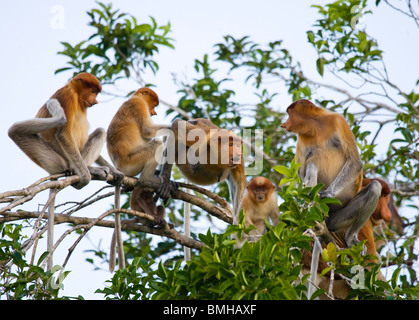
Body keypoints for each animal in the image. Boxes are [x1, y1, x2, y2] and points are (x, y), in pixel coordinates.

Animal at [8, 72, 120, 270]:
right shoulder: (66, 96)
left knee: (100, 132)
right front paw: (85, 177)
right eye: (93, 91)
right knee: (16, 130)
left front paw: (117, 173)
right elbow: (63, 134)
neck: (76, 93)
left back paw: (95, 169)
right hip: (57, 160)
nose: (95, 101)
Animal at [280, 99, 382, 298]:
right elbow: (300, 172)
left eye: (289, 113)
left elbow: (355, 162)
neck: (315, 127)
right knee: (311, 166)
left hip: (337, 219)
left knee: (375, 187)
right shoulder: (301, 140)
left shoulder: (338, 121)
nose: (284, 124)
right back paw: (313, 210)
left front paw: (328, 195)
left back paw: (350, 238)